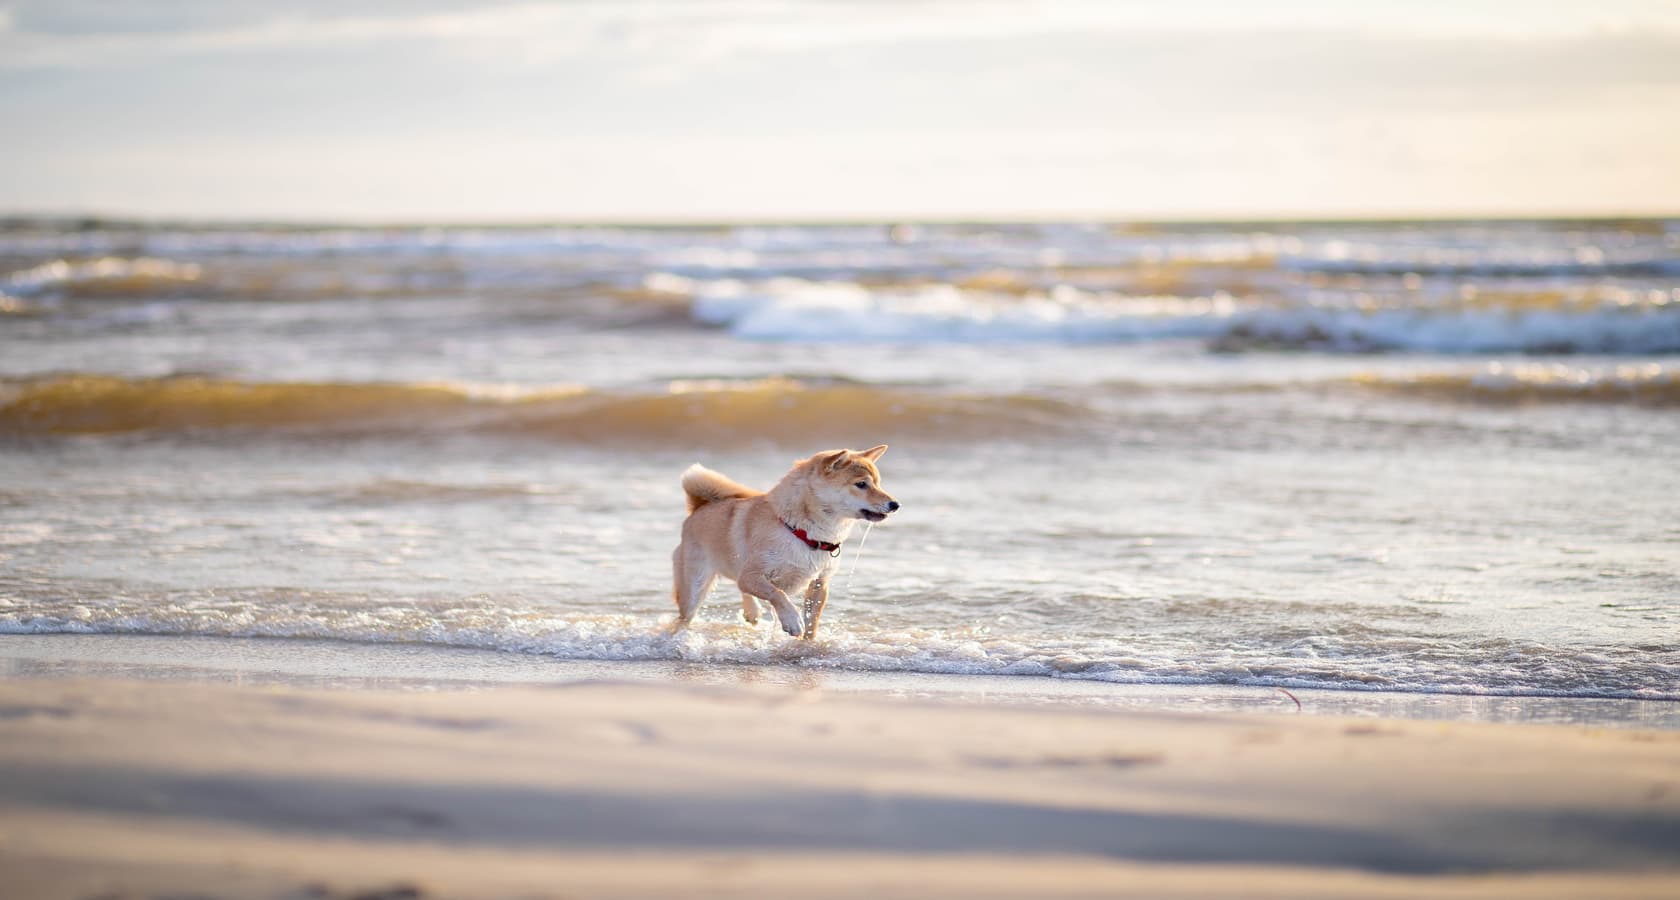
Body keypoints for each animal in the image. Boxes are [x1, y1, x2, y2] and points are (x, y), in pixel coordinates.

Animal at [675, 446, 900, 634]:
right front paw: (792, 621)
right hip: (695, 587)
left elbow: (812, 623)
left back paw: (752, 612)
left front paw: (808, 646)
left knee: (742, 590)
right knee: (687, 615)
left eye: (878, 483)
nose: (895, 504)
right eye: (861, 484)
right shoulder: (753, 576)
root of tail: (699, 507)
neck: (803, 533)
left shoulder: (819, 583)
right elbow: (777, 594)